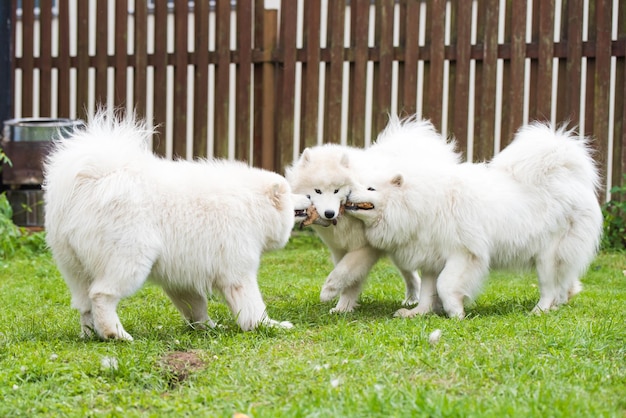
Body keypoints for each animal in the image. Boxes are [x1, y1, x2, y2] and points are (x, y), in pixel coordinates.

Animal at [42, 112, 308, 342]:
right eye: (290, 193)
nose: (308, 196)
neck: (252, 205)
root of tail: (93, 181)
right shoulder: (238, 272)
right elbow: (253, 307)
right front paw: (269, 326)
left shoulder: (183, 278)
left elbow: (196, 308)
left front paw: (209, 327)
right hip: (129, 260)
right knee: (101, 295)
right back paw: (116, 334)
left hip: (75, 269)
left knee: (84, 304)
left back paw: (91, 334)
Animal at [286, 116, 458, 312]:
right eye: (317, 191)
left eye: (337, 190)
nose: (329, 213)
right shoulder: (340, 249)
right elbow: (350, 279)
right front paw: (343, 308)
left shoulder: (365, 248)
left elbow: (345, 270)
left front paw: (330, 291)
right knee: (411, 275)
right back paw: (411, 299)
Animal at [344, 122, 604, 318]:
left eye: (370, 188)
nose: (345, 193)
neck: (421, 201)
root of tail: (567, 176)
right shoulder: (431, 258)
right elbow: (428, 290)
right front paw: (418, 312)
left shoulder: (464, 253)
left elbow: (445, 284)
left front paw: (455, 312)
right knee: (564, 283)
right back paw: (560, 302)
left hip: (547, 258)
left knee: (549, 287)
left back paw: (539, 311)